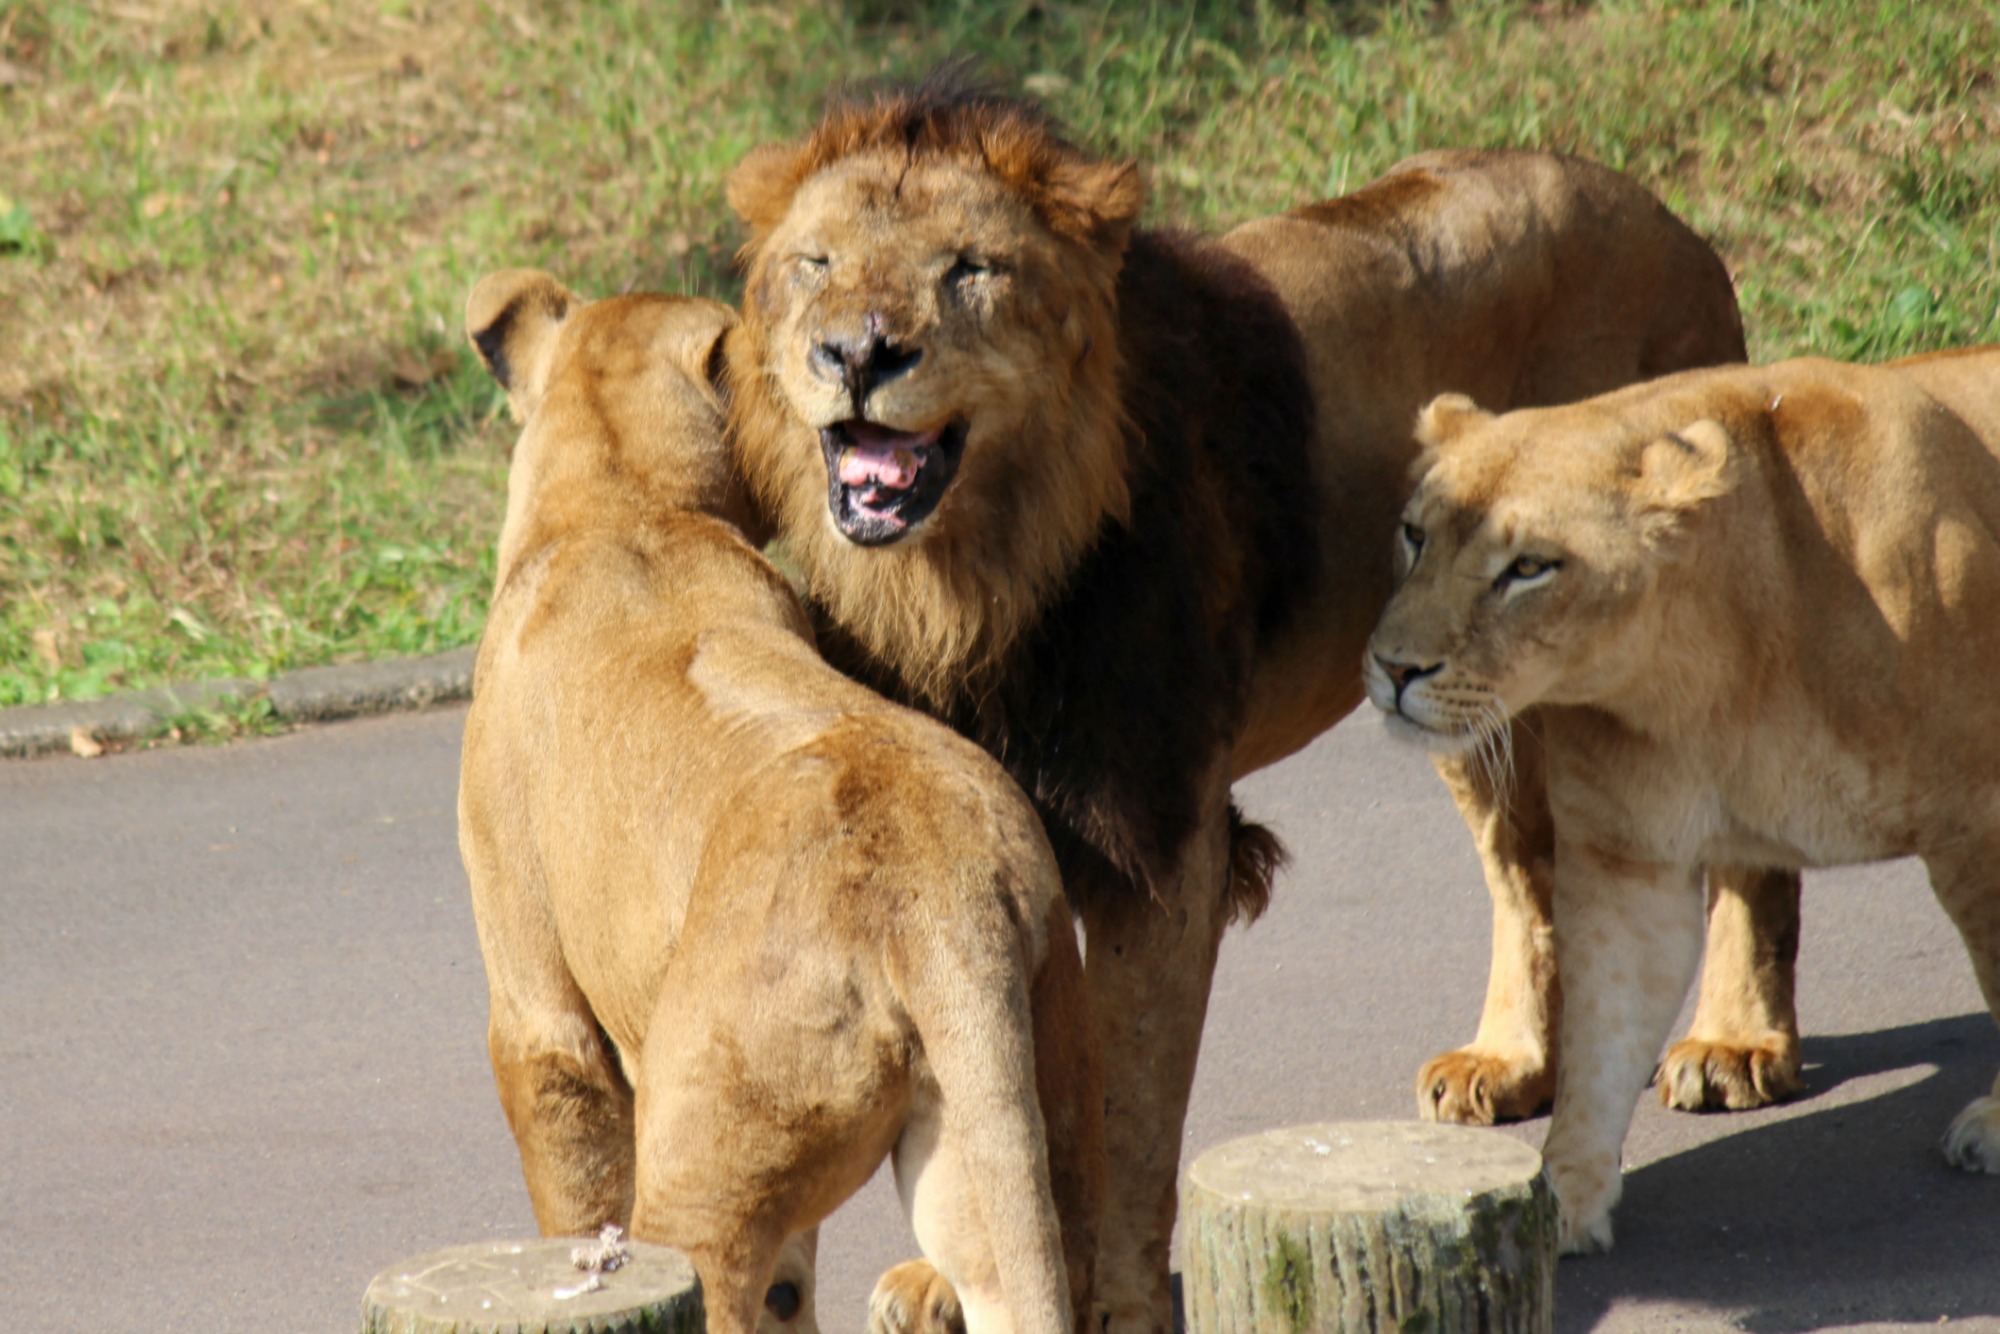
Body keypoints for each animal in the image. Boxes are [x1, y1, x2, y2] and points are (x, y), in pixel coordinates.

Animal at [458, 272, 1104, 1334]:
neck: (625, 504)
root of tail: (943, 901)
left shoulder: (537, 1006)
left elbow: (573, 1185)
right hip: (1012, 1118)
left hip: (702, 1154)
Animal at [724, 78, 1784, 1328]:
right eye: (815, 263)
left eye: (968, 269)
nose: (856, 352)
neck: (967, 587)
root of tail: (1668, 219)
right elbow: (1009, 1084)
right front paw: (949, 1273)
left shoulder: (1160, 837)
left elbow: (1130, 1109)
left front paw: (1117, 1300)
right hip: (1449, 674)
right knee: (1521, 864)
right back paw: (1509, 1062)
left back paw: (1736, 1039)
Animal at [1368, 348, 2000, 1256]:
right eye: (1415, 535)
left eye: (1528, 568)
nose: (1392, 668)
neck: (1706, 664)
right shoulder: (1624, 860)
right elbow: (1603, 1032)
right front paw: (1562, 1199)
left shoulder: (1977, 829)